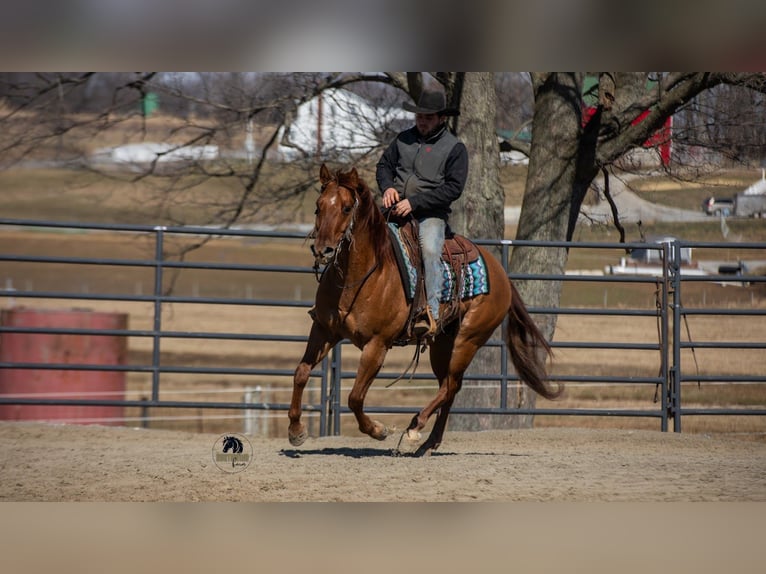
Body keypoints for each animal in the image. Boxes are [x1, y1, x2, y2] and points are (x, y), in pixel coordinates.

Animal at [289, 164, 562, 456]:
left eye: (347, 208)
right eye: (318, 207)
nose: (323, 249)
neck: (363, 275)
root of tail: (501, 273)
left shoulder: (377, 345)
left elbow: (355, 397)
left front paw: (379, 430)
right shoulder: (324, 330)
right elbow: (301, 373)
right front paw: (296, 431)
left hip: (468, 339)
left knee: (451, 384)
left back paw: (414, 428)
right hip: (442, 343)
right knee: (449, 387)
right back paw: (429, 443)